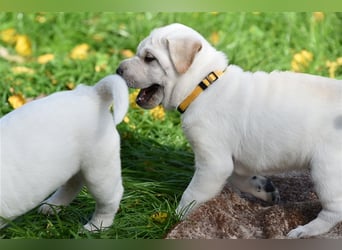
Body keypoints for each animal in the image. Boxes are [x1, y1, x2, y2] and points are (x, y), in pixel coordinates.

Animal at [0, 73, 128, 230]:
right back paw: (53, 206)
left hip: (99, 173)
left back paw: (96, 226)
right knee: (72, 184)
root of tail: (93, 95)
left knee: (110, 199)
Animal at [117, 23, 342, 238]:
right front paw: (264, 189)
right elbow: (238, 178)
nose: (118, 69)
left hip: (326, 171)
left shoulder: (213, 164)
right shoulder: (231, 161)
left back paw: (306, 230)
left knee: (334, 210)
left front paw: (177, 217)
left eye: (149, 58)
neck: (202, 86)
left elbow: (192, 195)